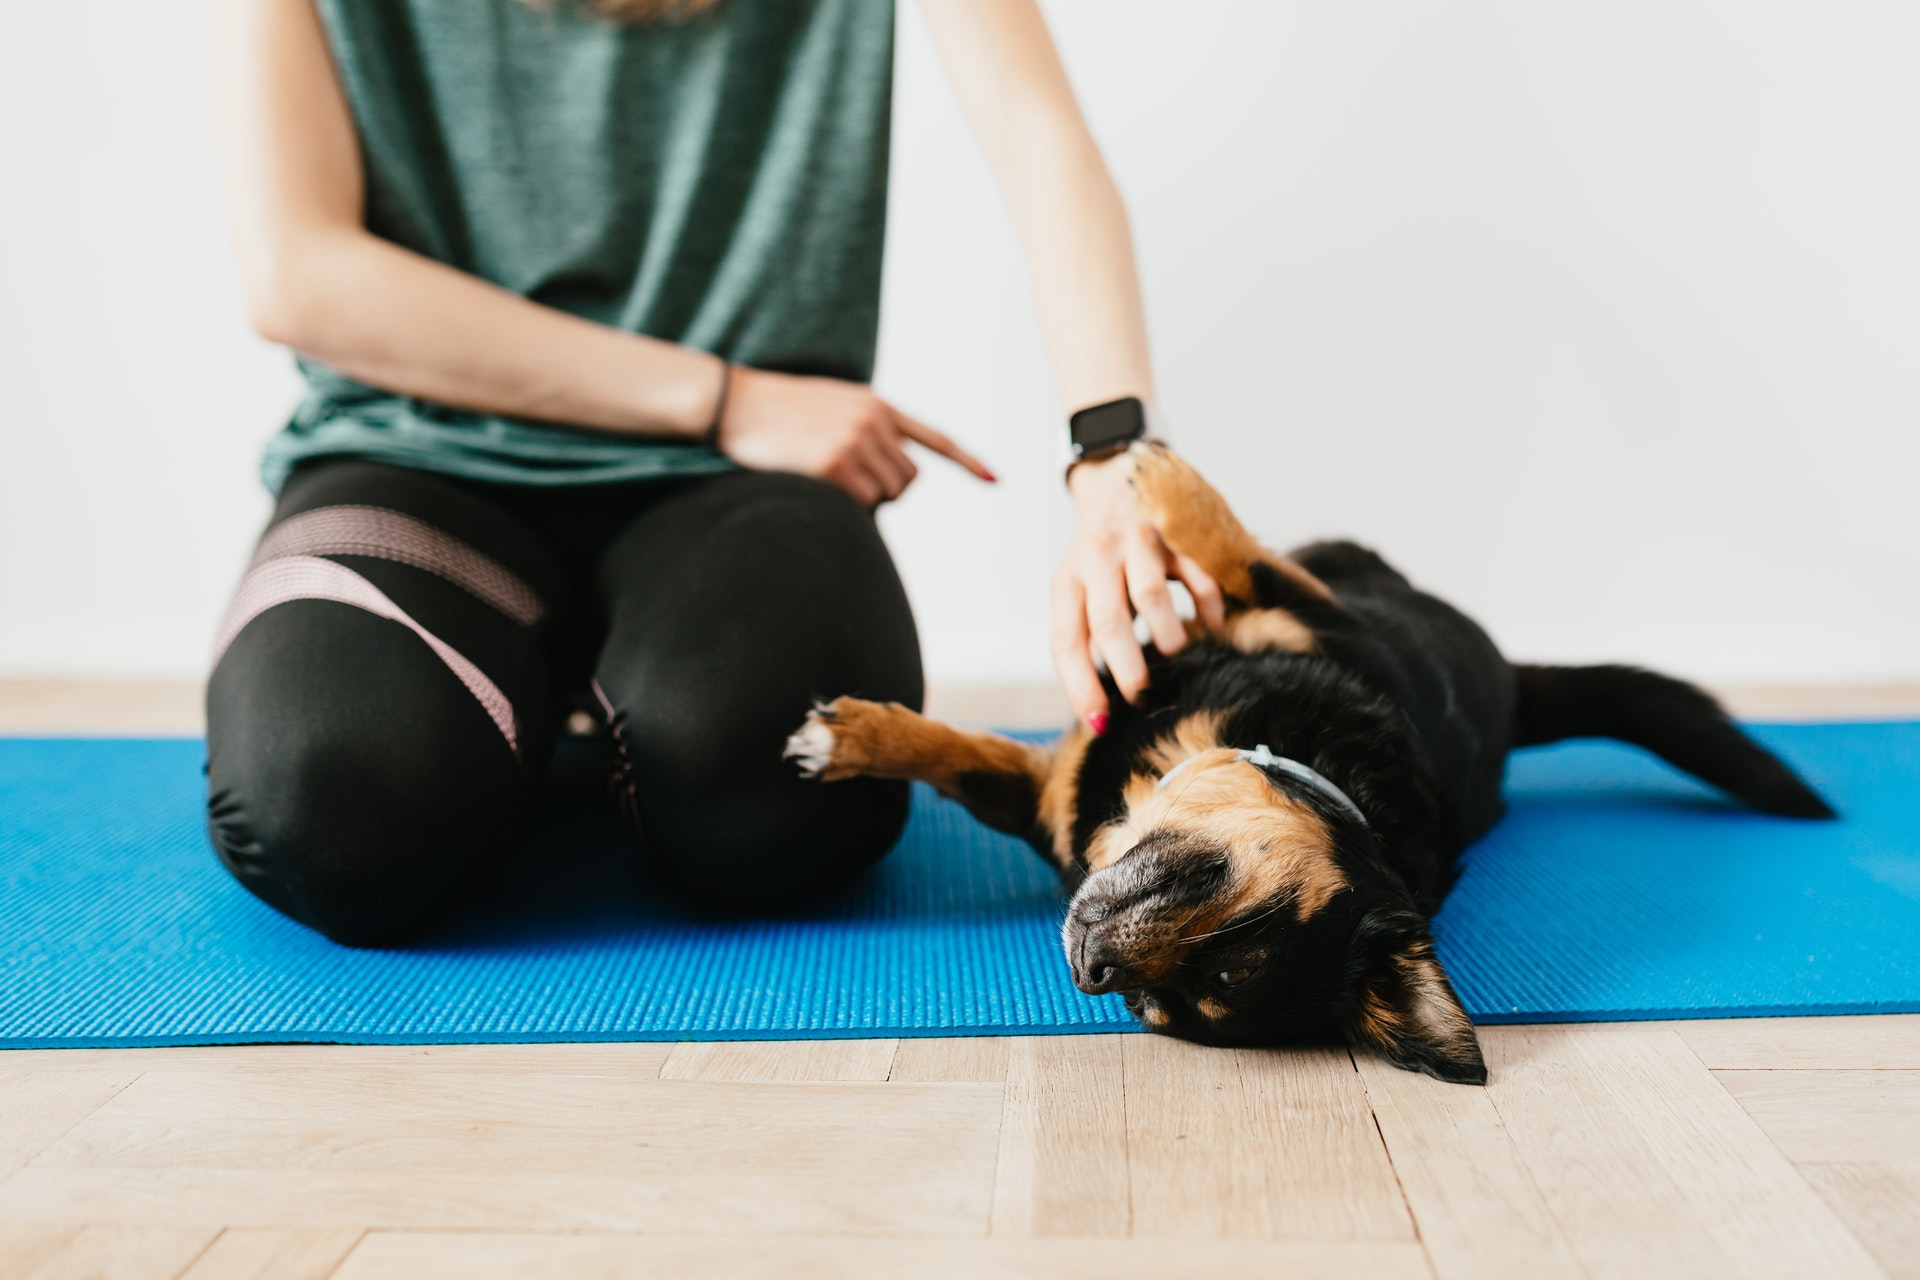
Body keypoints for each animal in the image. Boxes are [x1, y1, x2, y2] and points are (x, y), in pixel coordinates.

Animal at [775, 445, 1827, 1090]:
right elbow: (963, 756)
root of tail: (1513, 690)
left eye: (1162, 1003)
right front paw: (856, 738)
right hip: (1345, 569)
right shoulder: (1302, 623)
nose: (1089, 967)